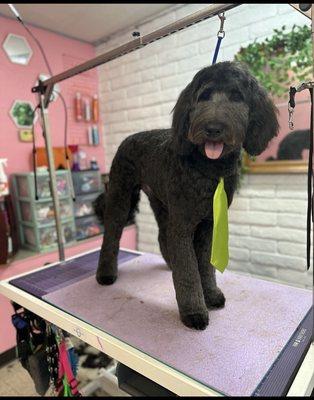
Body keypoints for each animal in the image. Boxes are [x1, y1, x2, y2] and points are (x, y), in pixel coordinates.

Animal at [94, 62, 278, 330]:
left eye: (237, 97)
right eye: (203, 96)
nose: (212, 128)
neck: (210, 171)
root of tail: (129, 138)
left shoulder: (208, 225)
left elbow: (205, 266)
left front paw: (211, 295)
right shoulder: (183, 225)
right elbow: (189, 272)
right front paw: (193, 311)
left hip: (162, 203)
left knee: (163, 236)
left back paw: (170, 263)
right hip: (121, 195)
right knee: (111, 235)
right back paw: (106, 274)